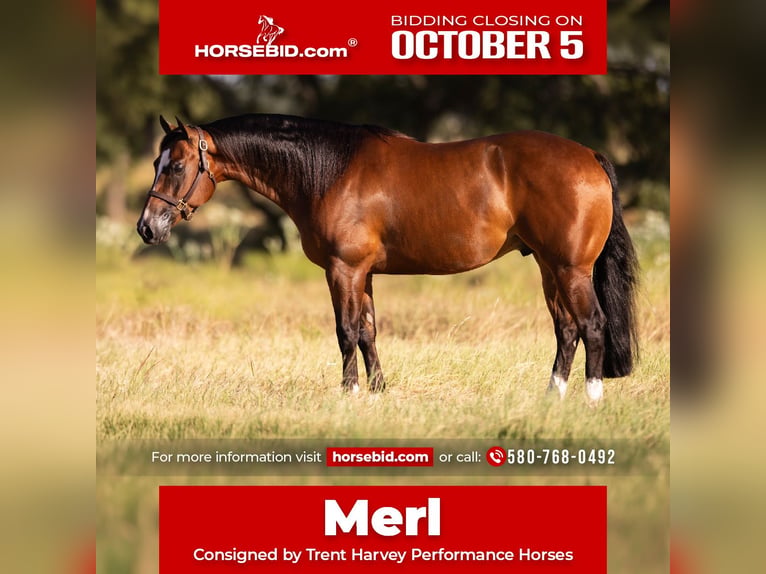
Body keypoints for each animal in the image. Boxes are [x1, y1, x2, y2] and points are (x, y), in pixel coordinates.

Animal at [137, 114, 638, 402]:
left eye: (176, 165)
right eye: (157, 163)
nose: (147, 227)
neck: (330, 171)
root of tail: (589, 156)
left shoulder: (343, 270)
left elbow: (345, 332)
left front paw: (349, 394)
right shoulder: (364, 274)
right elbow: (368, 331)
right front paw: (378, 392)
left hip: (571, 269)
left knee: (592, 325)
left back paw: (591, 398)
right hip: (548, 266)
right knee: (567, 329)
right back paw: (552, 397)